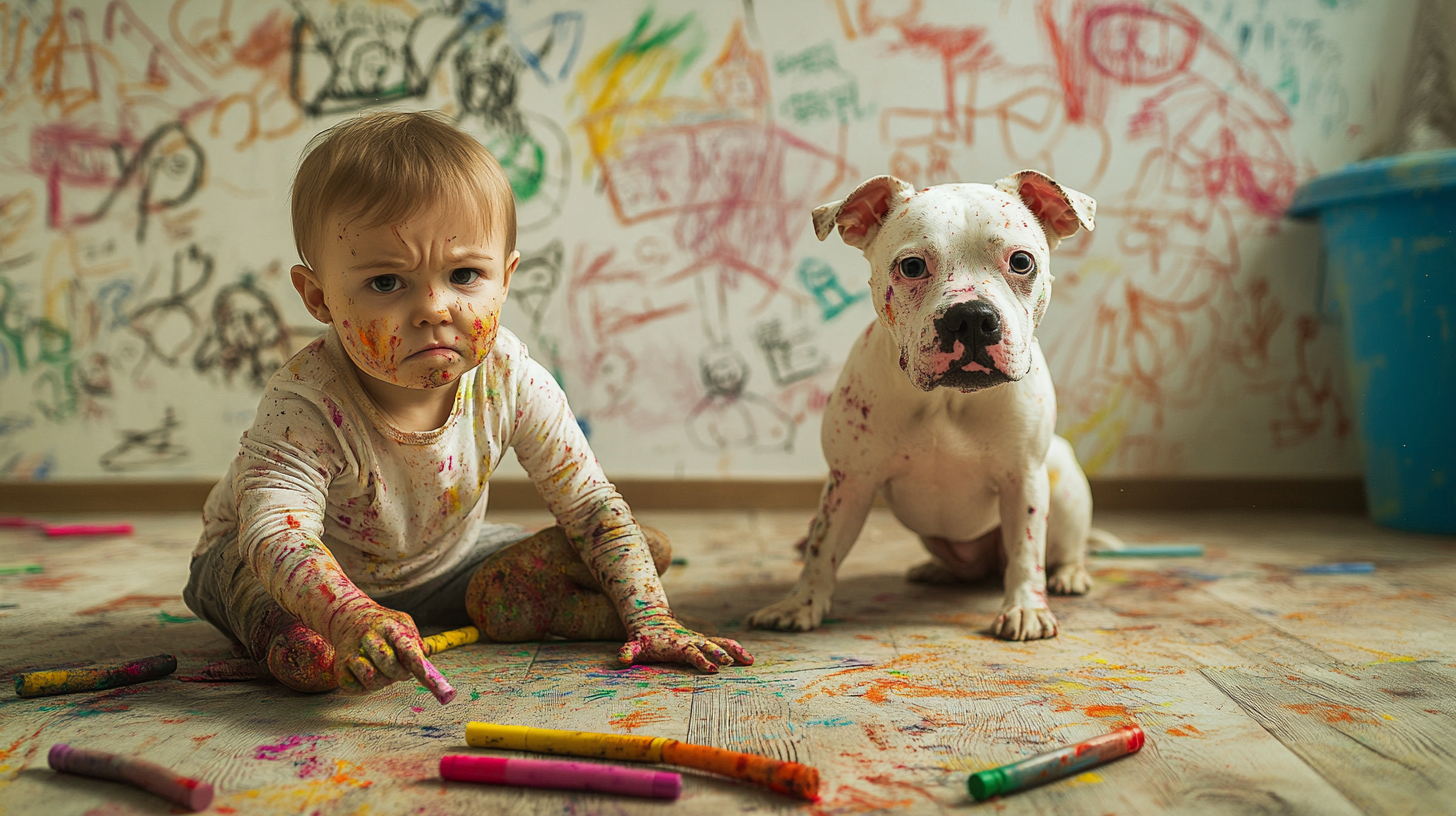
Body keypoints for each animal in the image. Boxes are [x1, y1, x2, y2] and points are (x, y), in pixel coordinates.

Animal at [745, 171, 1106, 641]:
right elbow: (822, 549)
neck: (946, 400)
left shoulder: (1024, 480)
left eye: (1021, 262)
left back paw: (1069, 574)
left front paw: (1026, 608)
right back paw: (937, 570)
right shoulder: (850, 482)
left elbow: (1028, 550)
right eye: (912, 266)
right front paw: (801, 604)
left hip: (1061, 486)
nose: (972, 317)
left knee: (1059, 549)